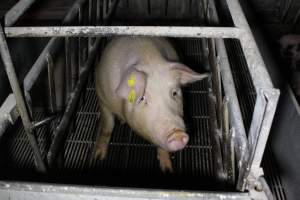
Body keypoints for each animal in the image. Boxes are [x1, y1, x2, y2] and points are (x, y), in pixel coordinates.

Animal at [94, 36, 209, 172]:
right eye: (143, 98)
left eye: (174, 93)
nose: (177, 134)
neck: (149, 58)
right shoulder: (103, 99)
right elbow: (107, 127)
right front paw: (98, 157)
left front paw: (167, 169)